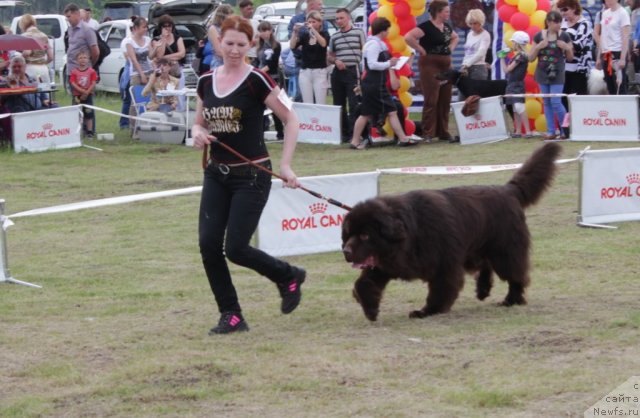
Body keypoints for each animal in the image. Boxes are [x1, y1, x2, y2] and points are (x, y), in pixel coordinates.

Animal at [340, 142, 560, 322]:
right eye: (348, 234)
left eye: (365, 235)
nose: (346, 252)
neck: (410, 233)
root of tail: (508, 190)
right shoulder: (388, 263)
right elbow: (363, 283)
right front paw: (370, 309)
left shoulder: (443, 265)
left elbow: (440, 290)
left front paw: (427, 311)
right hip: (475, 248)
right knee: (485, 264)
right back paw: (483, 290)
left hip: (505, 249)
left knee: (515, 274)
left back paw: (512, 300)